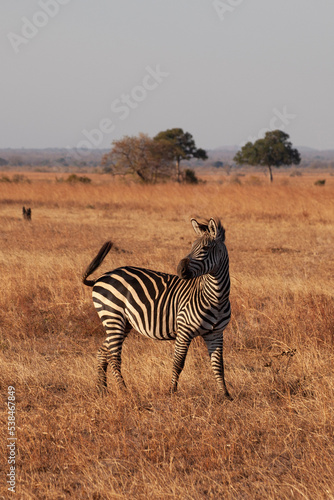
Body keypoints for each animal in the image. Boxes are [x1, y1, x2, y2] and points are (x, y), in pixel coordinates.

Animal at [83, 217, 232, 400]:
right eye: (191, 246)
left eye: (205, 248)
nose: (180, 269)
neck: (216, 297)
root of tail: (101, 277)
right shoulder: (184, 330)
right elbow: (178, 363)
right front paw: (172, 392)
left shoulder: (216, 333)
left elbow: (218, 365)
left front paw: (226, 395)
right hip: (113, 316)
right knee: (114, 356)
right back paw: (124, 390)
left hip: (124, 323)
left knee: (102, 352)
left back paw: (101, 389)